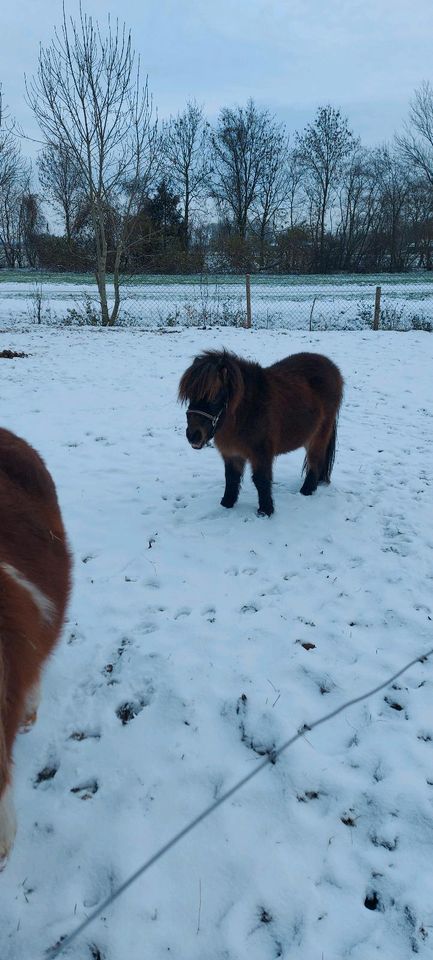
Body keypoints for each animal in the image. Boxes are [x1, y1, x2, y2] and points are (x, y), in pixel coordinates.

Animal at [177, 350, 342, 516]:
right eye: (190, 396)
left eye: (214, 396)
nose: (193, 435)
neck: (246, 412)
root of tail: (331, 366)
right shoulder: (231, 453)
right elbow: (231, 478)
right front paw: (227, 504)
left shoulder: (261, 453)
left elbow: (261, 480)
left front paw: (265, 511)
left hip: (319, 435)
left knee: (315, 461)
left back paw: (307, 491)